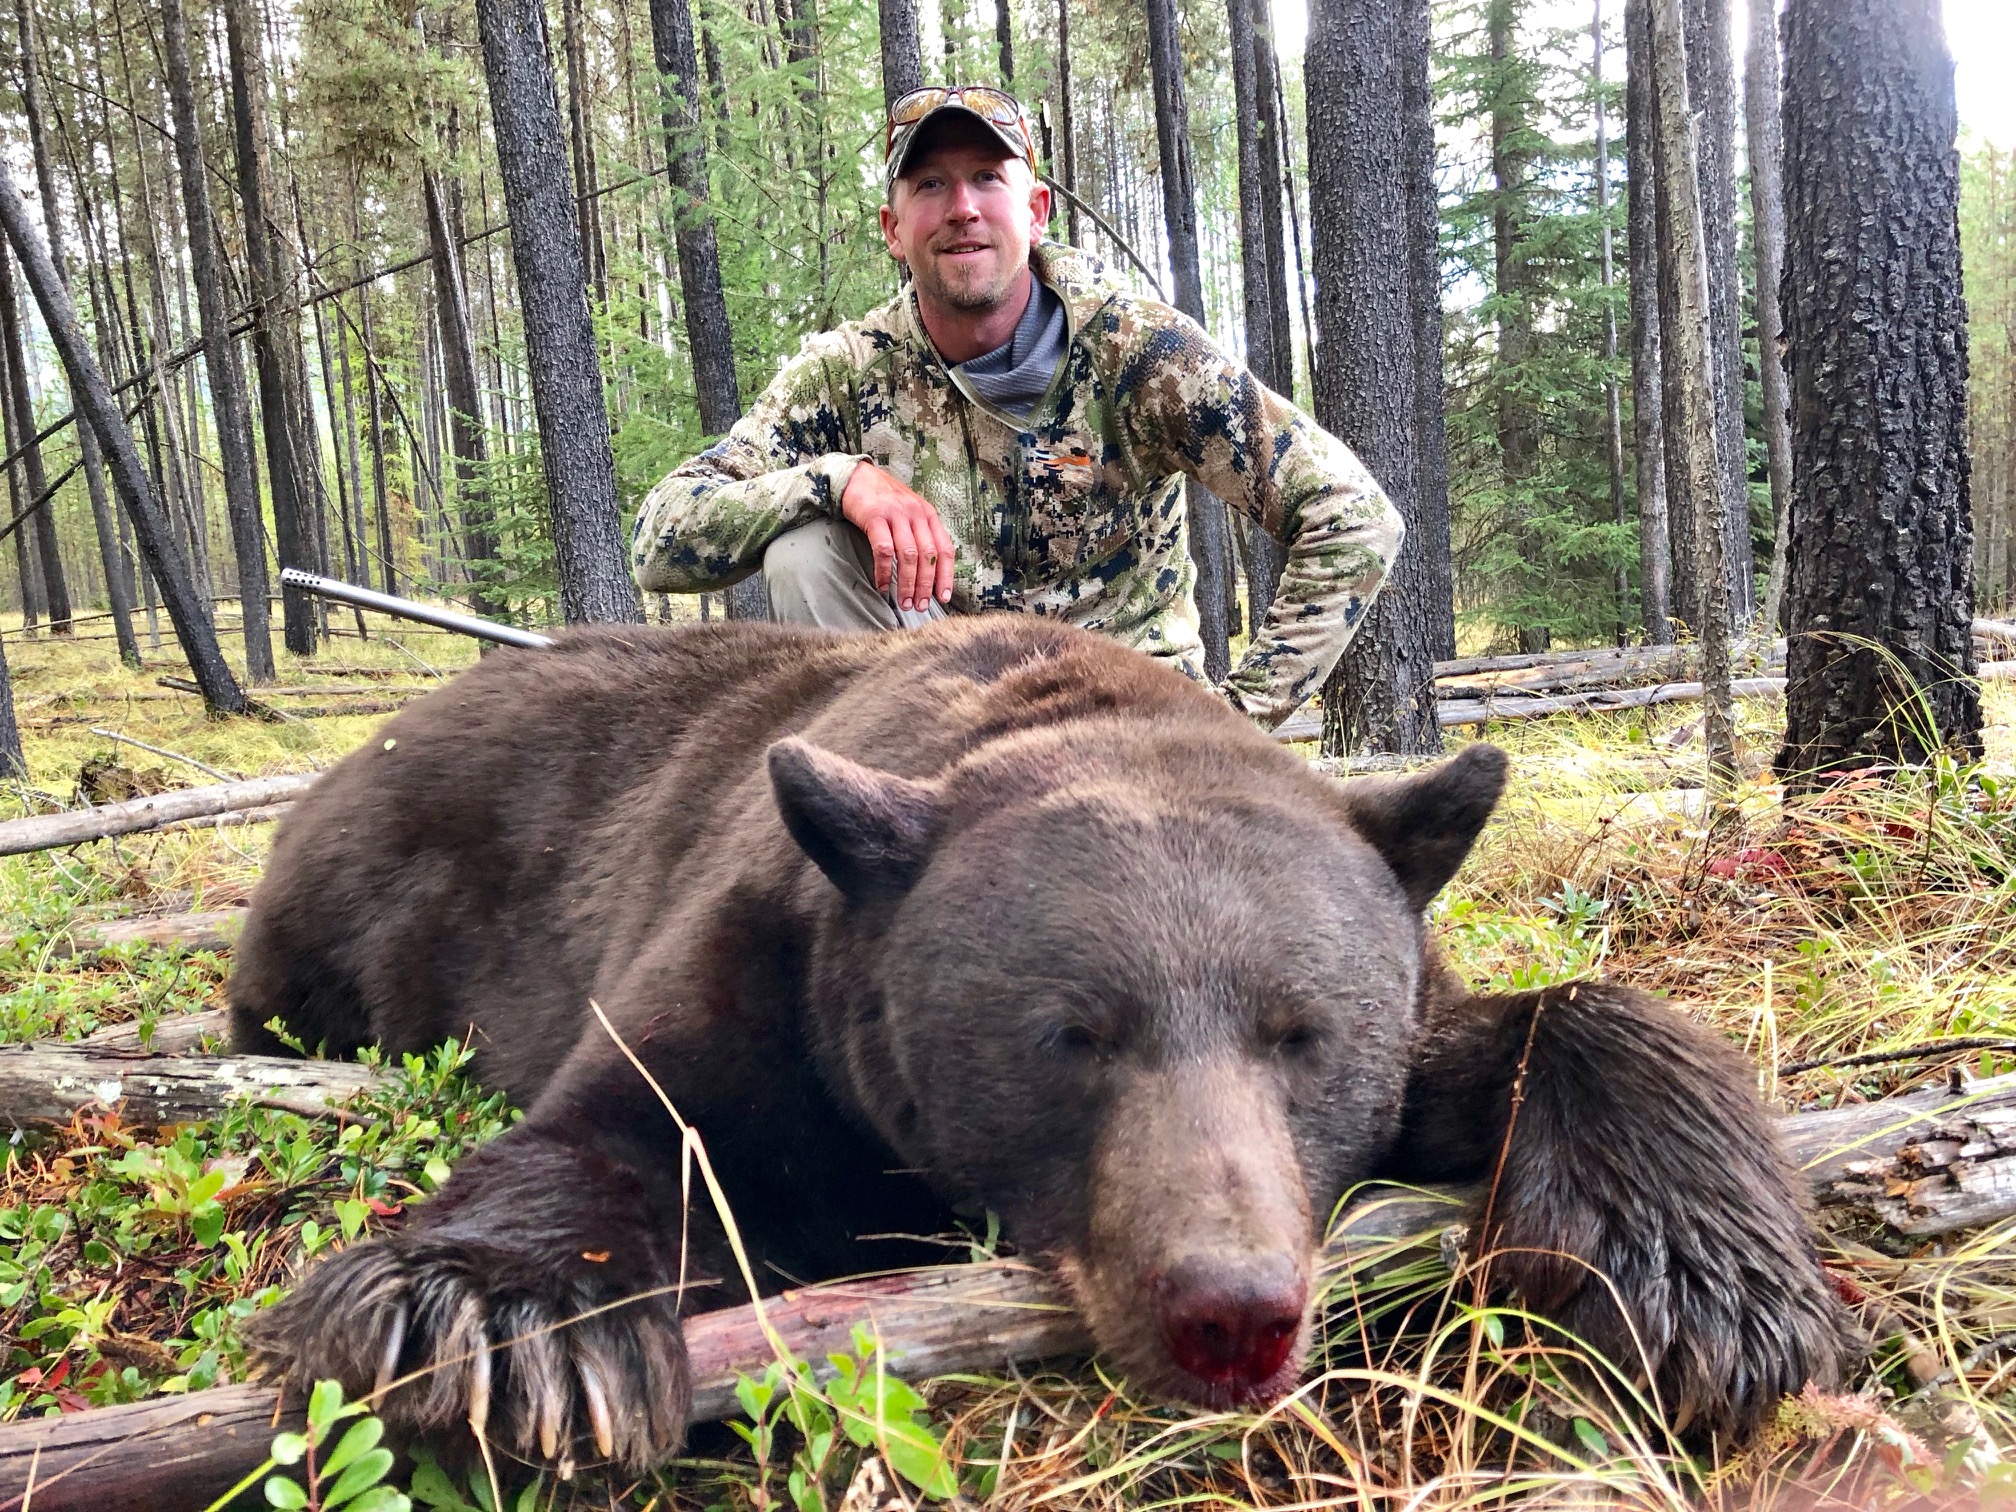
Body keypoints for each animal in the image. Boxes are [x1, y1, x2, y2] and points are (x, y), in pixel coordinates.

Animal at [230, 617, 1855, 1473]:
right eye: (1073, 1034)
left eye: (1303, 1036)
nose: (1231, 1312)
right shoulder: (769, 966)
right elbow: (621, 1131)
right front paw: (496, 1331)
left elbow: (1569, 1021)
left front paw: (1696, 1283)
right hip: (344, 894)